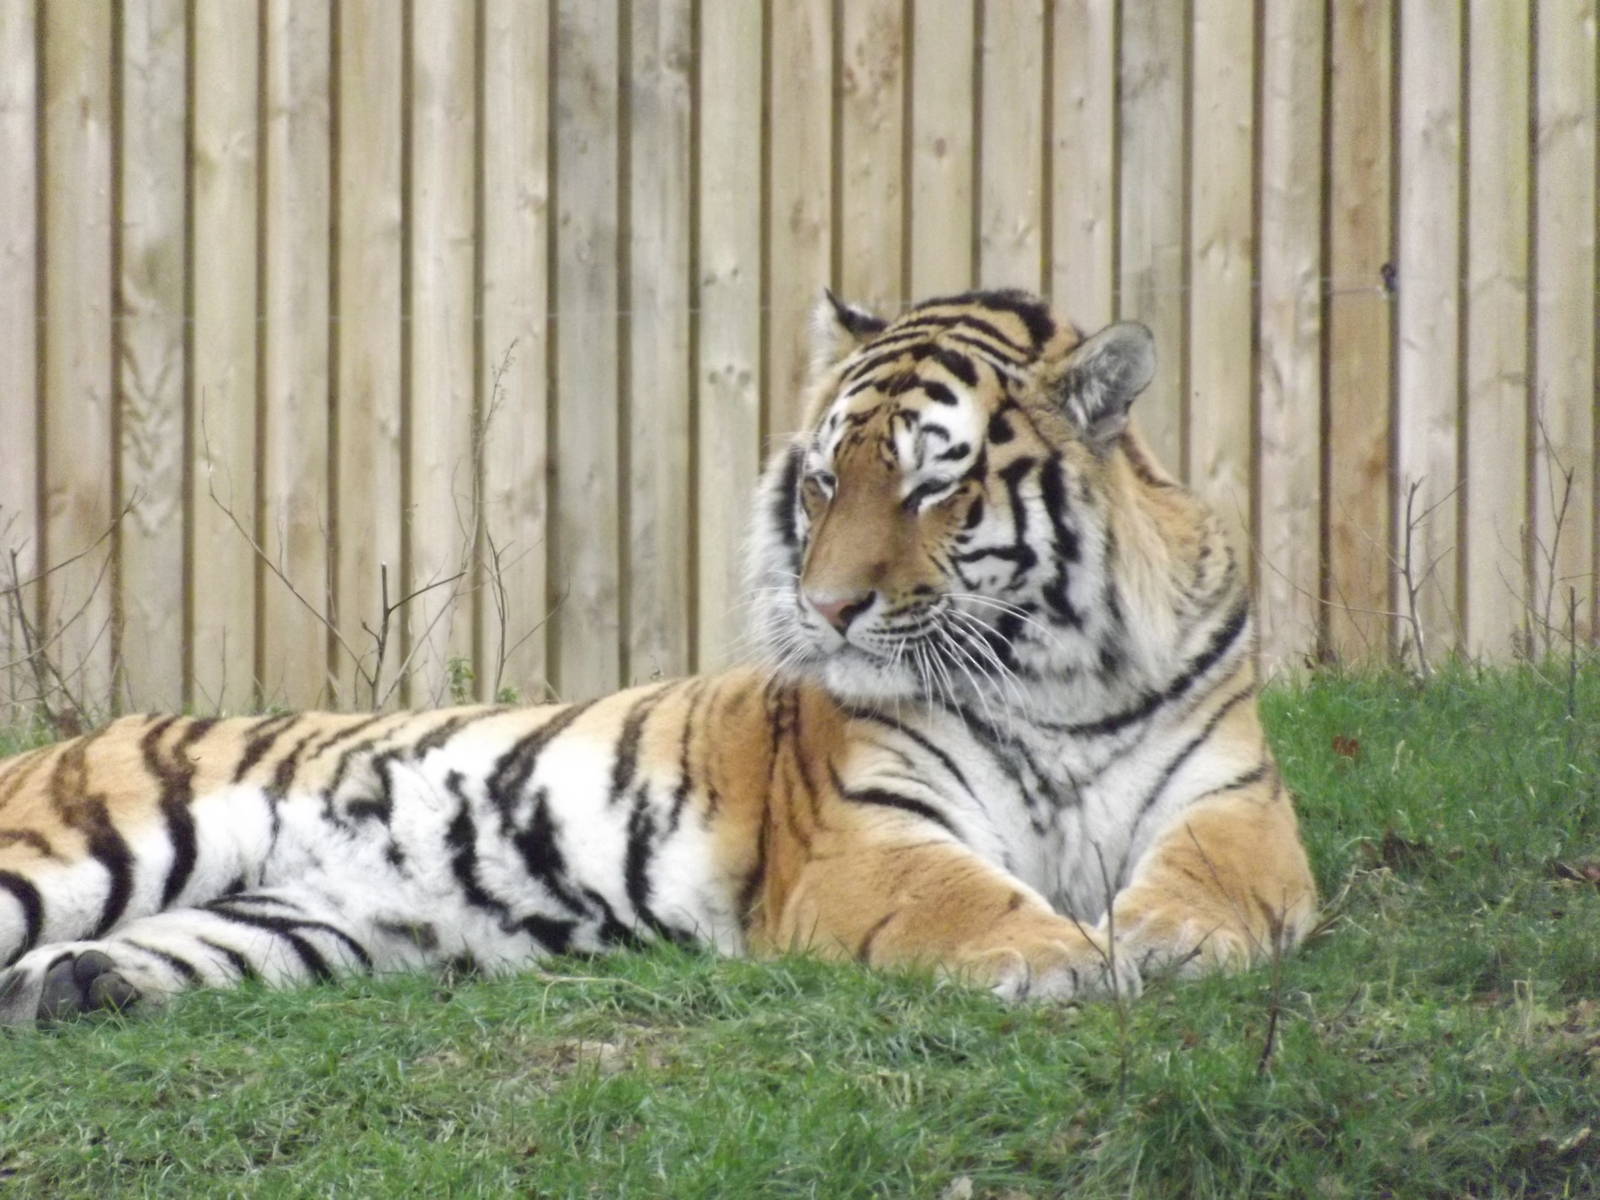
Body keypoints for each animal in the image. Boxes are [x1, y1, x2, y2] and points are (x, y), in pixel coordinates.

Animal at [0, 288, 1316, 1025]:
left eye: (932, 483)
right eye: (825, 480)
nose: (827, 609)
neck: (1055, 678)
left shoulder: (1233, 799)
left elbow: (1219, 880)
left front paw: (1167, 941)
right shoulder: (866, 836)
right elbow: (962, 896)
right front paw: (1064, 962)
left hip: (299, 920)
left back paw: (67, 990)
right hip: (83, 846)